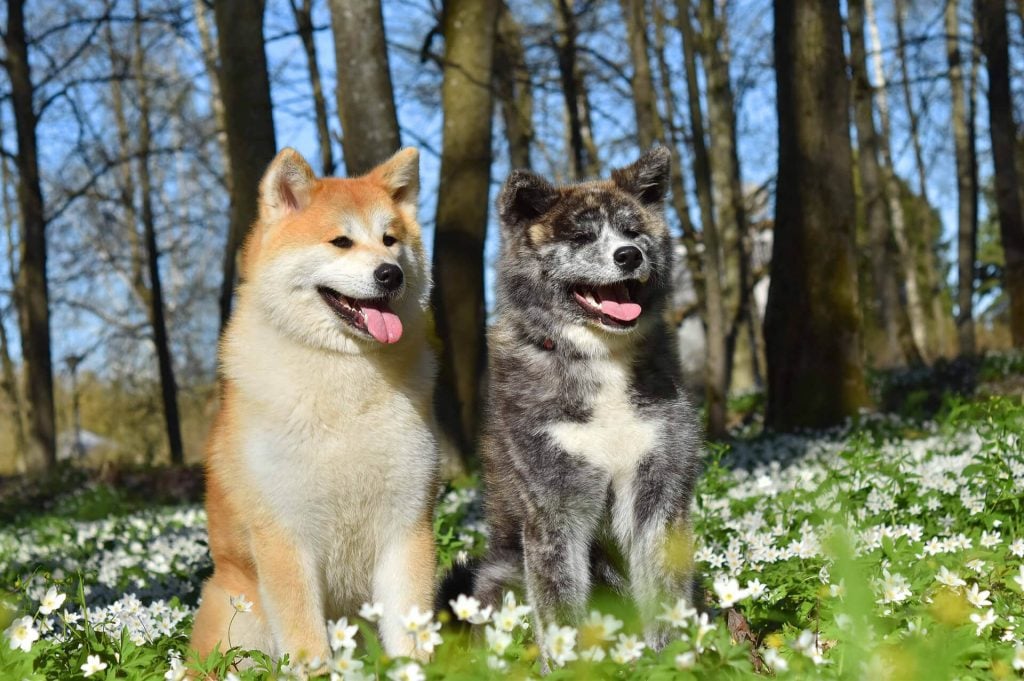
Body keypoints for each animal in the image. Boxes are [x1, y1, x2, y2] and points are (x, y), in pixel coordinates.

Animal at [477, 147, 704, 663]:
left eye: (633, 231)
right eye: (580, 237)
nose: (629, 255)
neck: (601, 358)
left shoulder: (658, 490)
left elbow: (664, 588)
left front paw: (673, 659)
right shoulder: (553, 505)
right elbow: (560, 603)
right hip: (499, 578)